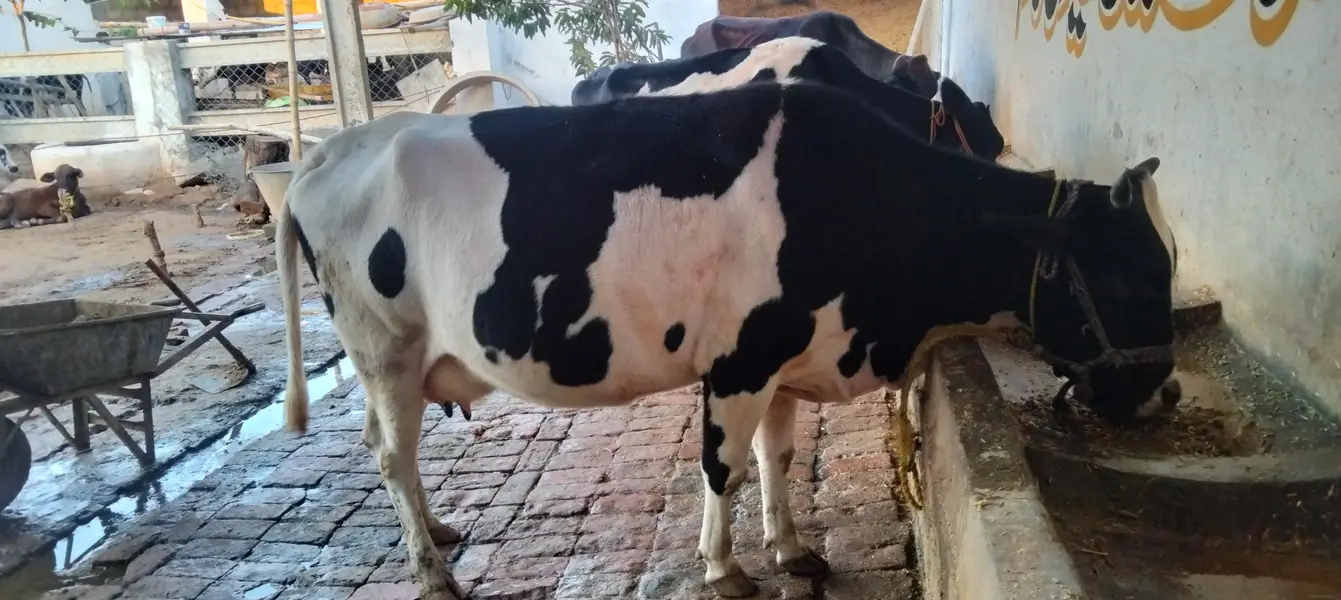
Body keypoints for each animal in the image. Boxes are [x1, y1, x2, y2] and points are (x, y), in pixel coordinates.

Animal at [276, 81, 1180, 600]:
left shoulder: (786, 361)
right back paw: (431, 575)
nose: (1163, 391)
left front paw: (791, 548)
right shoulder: (740, 359)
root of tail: (332, 148)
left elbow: (773, 456)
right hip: (385, 348)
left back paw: (434, 535)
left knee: (381, 446)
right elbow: (722, 467)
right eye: (1131, 280)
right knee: (392, 455)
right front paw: (726, 567)